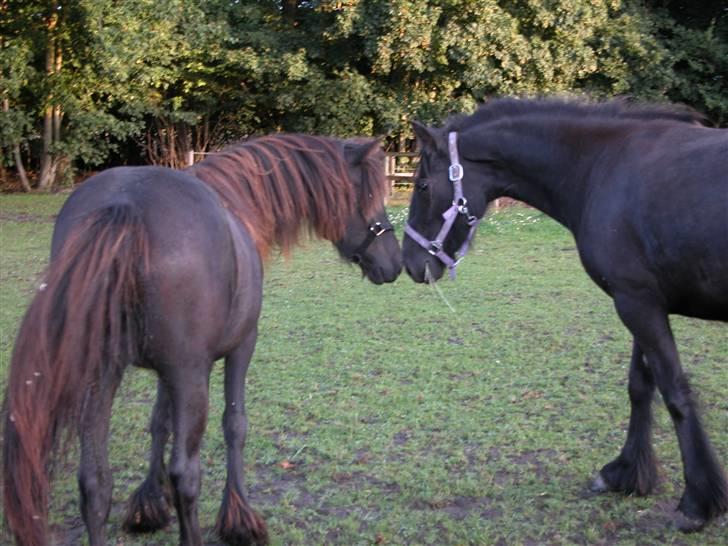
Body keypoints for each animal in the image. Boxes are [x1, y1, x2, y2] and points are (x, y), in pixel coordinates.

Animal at [2, 134, 402, 546]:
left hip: (101, 377)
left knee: (95, 483)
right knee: (185, 474)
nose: (395, 261)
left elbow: (159, 421)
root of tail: (125, 206)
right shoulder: (239, 347)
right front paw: (239, 519)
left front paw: (148, 505)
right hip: (189, 375)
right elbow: (235, 424)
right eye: (369, 196)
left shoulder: (166, 371)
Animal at [402, 97, 728, 532]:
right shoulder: (639, 299)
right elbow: (640, 386)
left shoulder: (637, 302)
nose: (409, 261)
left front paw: (696, 502)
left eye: (422, 185)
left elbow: (674, 392)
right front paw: (625, 473)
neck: (603, 166)